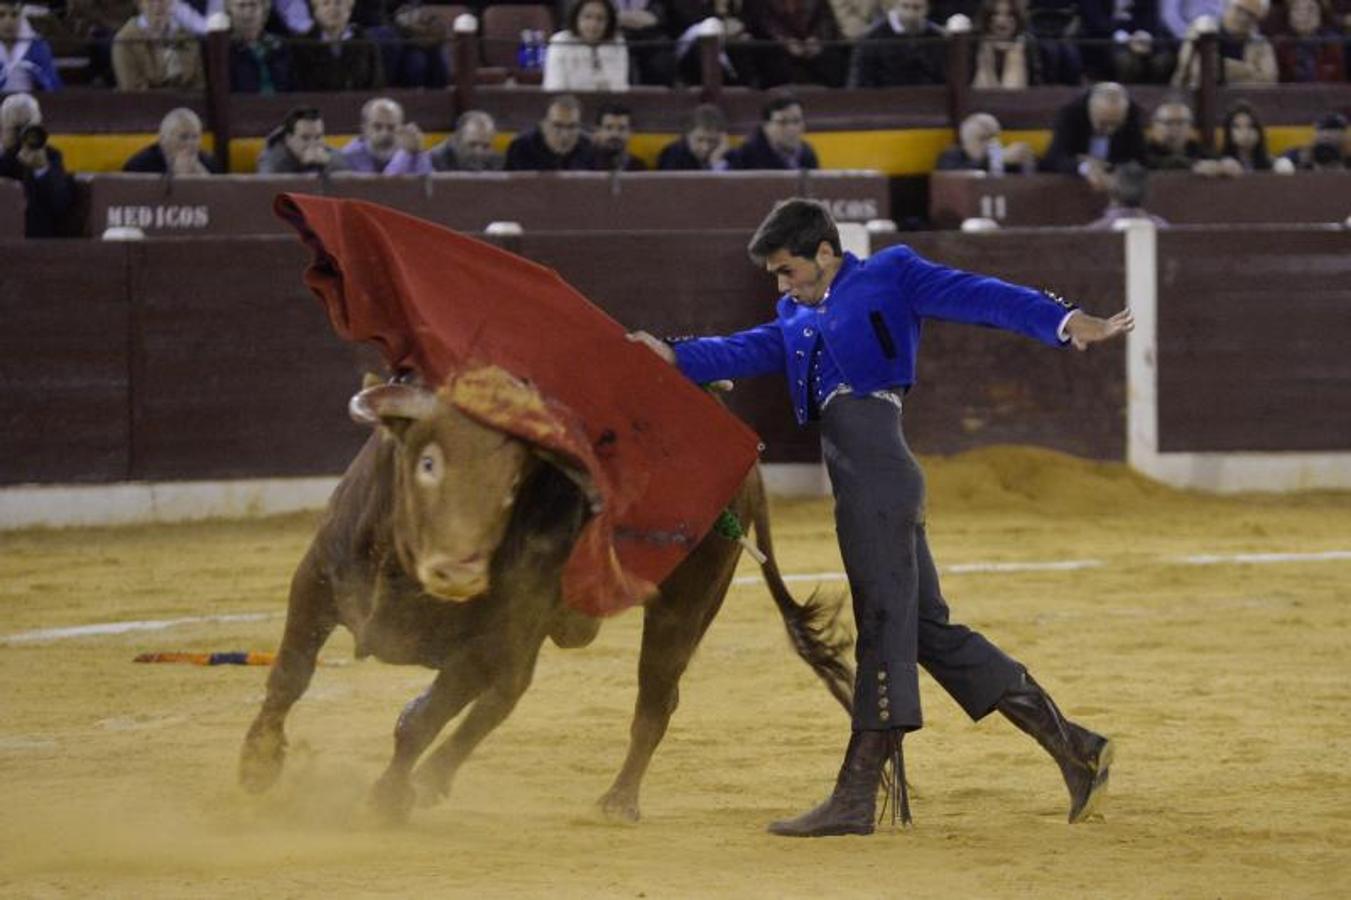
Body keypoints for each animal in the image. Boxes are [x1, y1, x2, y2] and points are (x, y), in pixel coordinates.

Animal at [240, 375, 853, 821]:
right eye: (427, 463)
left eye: (513, 483)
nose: (460, 570)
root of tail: (747, 465)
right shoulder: (316, 581)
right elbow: (290, 675)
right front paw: (257, 765)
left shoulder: (489, 637)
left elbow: (419, 720)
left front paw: (386, 800)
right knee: (509, 693)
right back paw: (436, 781)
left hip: (683, 606)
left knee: (653, 699)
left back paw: (616, 802)